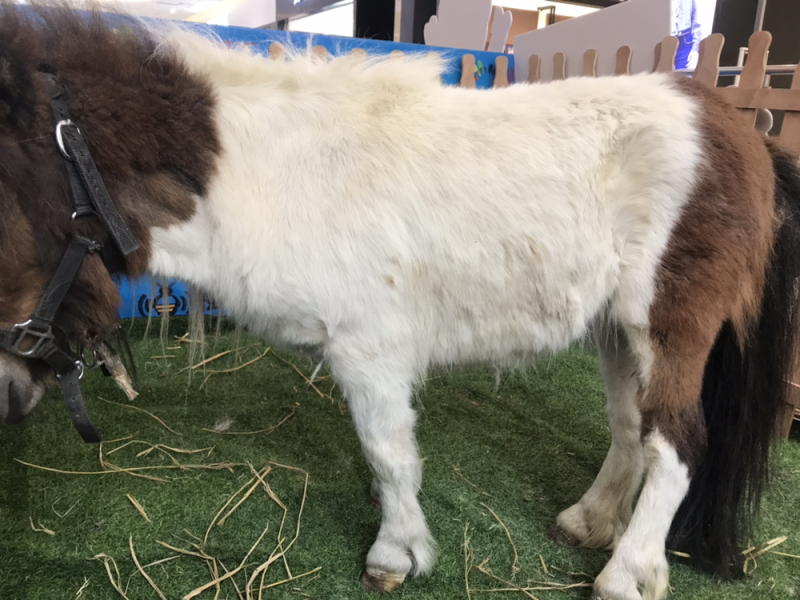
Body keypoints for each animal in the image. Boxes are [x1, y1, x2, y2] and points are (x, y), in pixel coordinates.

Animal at [1, 4, 799, 599]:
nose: (8, 396)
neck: (270, 173)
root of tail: (739, 132)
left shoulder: (368, 348)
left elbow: (388, 455)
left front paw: (397, 554)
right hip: (616, 330)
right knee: (631, 425)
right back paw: (590, 522)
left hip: (669, 325)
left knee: (676, 442)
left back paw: (625, 574)